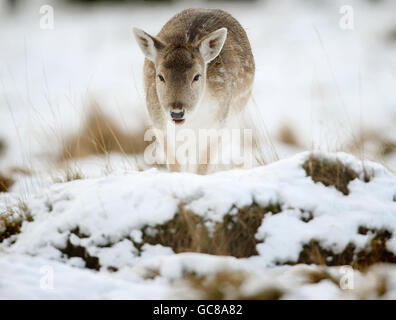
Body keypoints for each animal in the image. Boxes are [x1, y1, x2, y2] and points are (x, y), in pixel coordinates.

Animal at [134, 8, 256, 175]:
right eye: (160, 76)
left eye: (197, 76)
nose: (177, 113)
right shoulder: (159, 126)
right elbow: (175, 165)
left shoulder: (217, 124)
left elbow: (203, 166)